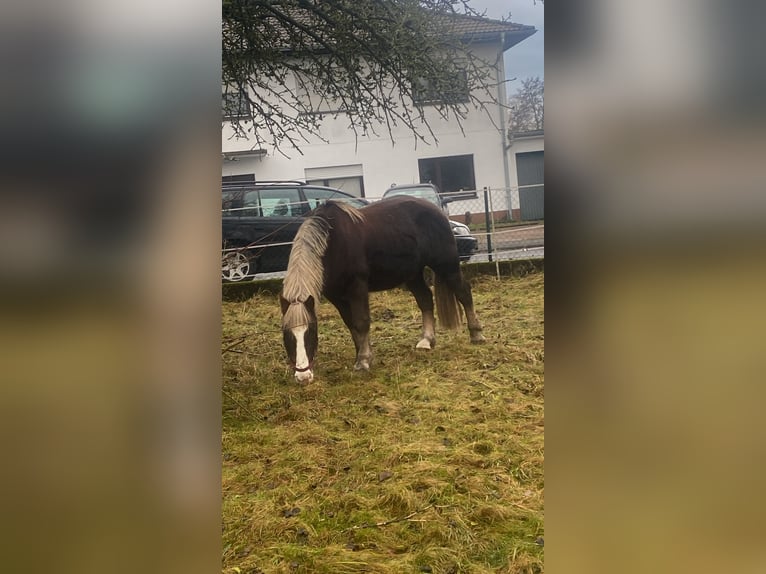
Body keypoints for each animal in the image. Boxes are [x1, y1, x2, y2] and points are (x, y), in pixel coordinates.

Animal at [280, 196, 486, 384]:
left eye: (311, 331)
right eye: (287, 334)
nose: (303, 377)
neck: (332, 241)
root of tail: (437, 211)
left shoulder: (357, 288)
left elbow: (361, 321)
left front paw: (363, 360)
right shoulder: (336, 296)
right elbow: (351, 324)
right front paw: (361, 354)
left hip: (447, 265)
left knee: (464, 293)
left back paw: (476, 334)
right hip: (412, 274)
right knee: (425, 299)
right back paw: (427, 340)